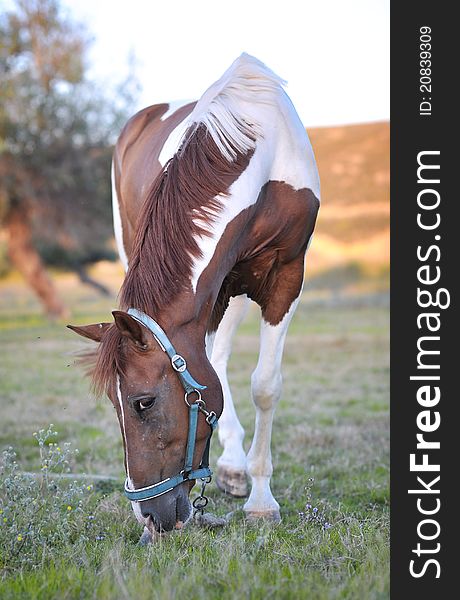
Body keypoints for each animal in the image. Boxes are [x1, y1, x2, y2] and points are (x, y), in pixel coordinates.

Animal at [68, 55, 320, 540]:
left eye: (142, 403)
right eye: (113, 404)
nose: (149, 516)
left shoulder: (285, 275)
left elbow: (265, 385)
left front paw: (262, 500)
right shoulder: (213, 289)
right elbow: (215, 372)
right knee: (216, 359)